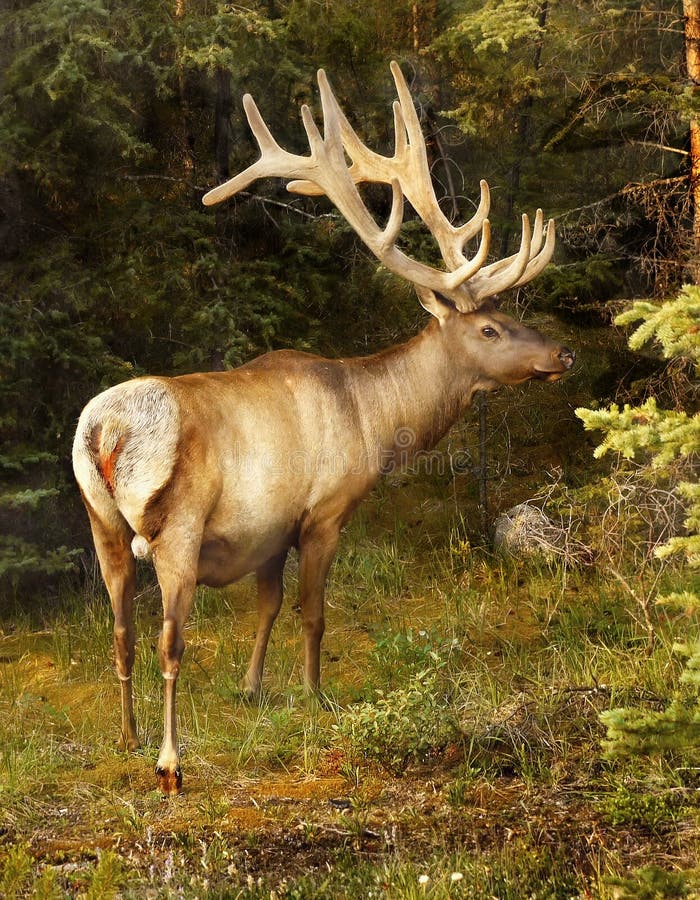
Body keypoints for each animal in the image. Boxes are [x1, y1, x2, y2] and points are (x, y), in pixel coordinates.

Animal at [72, 61, 574, 794]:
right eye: (490, 328)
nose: (562, 355)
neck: (375, 418)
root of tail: (102, 432)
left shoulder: (270, 528)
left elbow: (267, 605)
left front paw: (253, 689)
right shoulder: (326, 509)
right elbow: (312, 613)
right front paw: (314, 696)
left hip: (101, 522)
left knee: (119, 634)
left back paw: (127, 736)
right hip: (176, 527)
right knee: (169, 640)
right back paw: (169, 761)